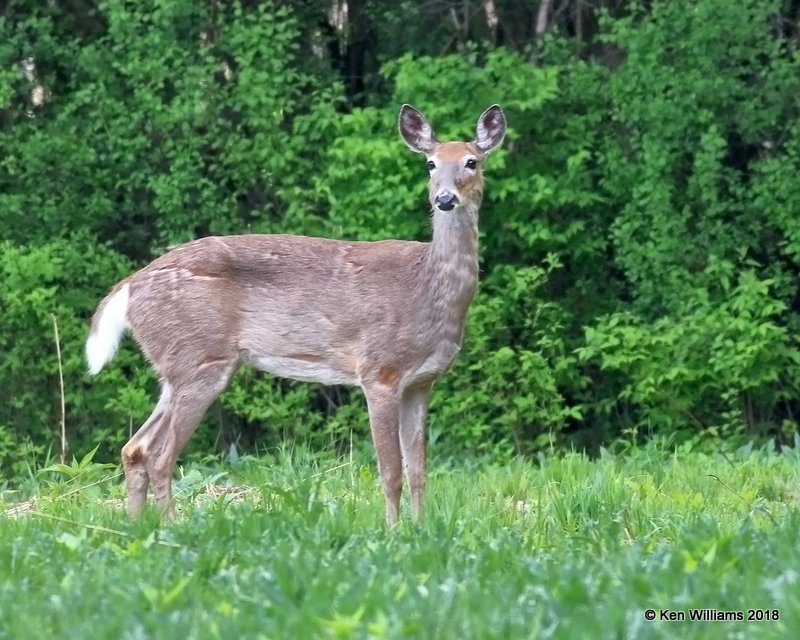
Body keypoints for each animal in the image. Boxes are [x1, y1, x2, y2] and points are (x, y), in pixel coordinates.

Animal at [86, 105, 506, 524]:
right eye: (430, 164)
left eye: (472, 162)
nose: (445, 199)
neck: (426, 288)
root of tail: (128, 288)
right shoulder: (378, 370)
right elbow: (391, 472)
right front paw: (393, 532)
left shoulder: (422, 382)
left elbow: (419, 470)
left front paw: (421, 528)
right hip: (201, 359)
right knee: (159, 454)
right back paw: (174, 528)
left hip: (177, 368)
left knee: (134, 448)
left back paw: (138, 526)